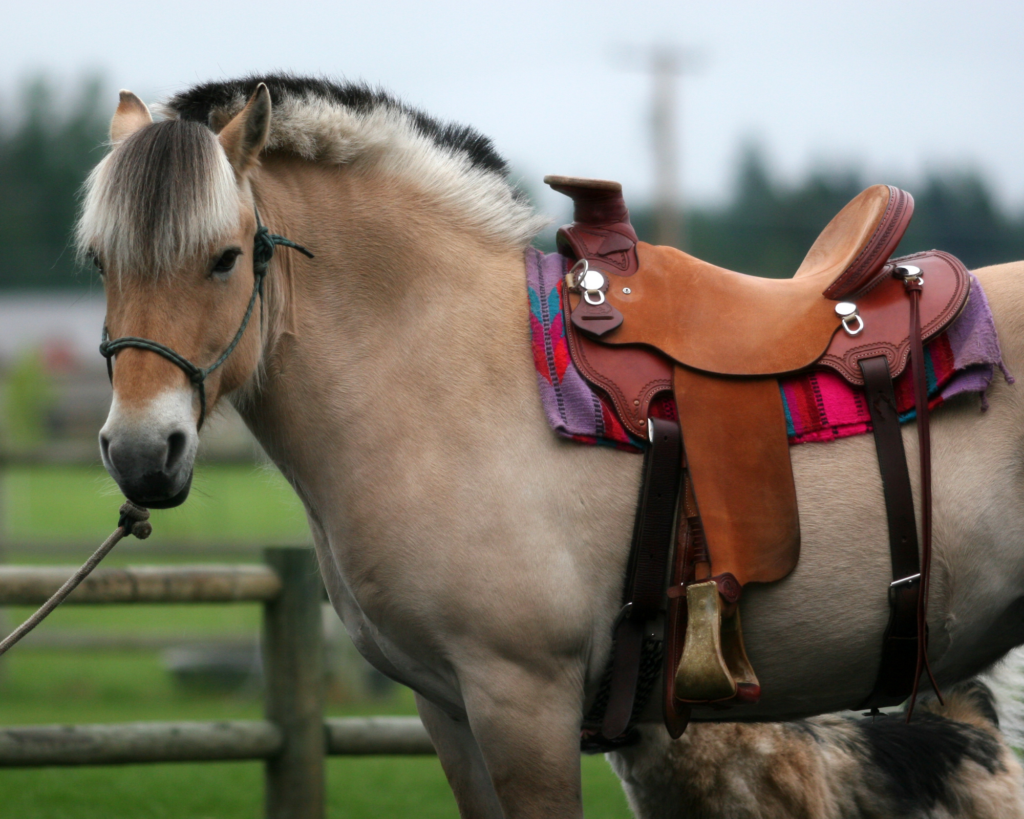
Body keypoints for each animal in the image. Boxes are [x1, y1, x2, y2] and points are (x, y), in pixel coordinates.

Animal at [78, 75, 1024, 818]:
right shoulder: (451, 710)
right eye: (98, 261)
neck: (437, 370)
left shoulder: (523, 702)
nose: (140, 452)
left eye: (224, 258)